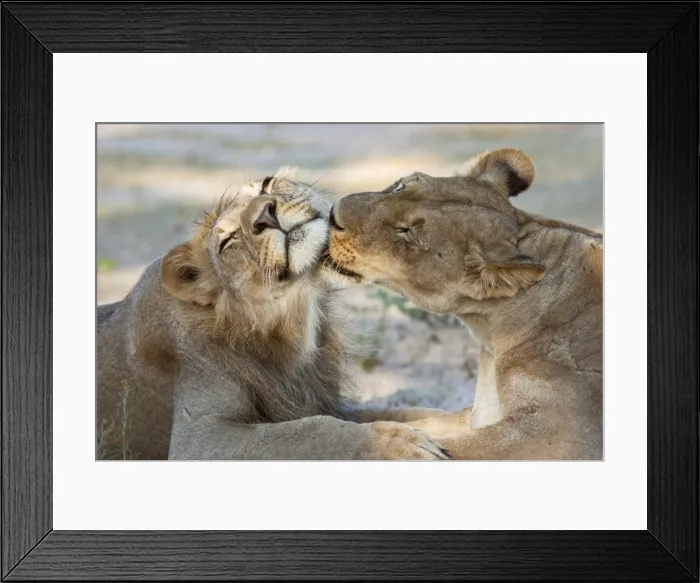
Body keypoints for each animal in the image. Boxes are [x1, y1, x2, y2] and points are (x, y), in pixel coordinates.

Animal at [97, 169, 451, 460]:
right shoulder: (199, 439)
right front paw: (393, 444)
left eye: (265, 186)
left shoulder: (320, 398)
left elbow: (401, 411)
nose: (265, 215)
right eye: (228, 240)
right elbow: (311, 431)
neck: (295, 314)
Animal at [326, 148, 603, 460]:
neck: (491, 331)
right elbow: (428, 422)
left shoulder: (557, 432)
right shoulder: (480, 414)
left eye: (407, 232)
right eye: (399, 186)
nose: (332, 213)